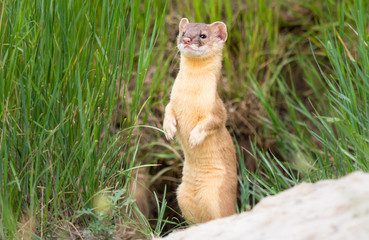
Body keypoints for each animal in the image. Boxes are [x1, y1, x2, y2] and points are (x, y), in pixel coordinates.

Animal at [163, 17, 237, 223]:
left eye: (203, 35)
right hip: (182, 194)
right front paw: (169, 129)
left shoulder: (216, 108)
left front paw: (194, 137)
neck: (189, 97)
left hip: (216, 194)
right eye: (183, 32)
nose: (187, 39)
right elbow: (167, 110)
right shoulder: (172, 101)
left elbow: (213, 122)